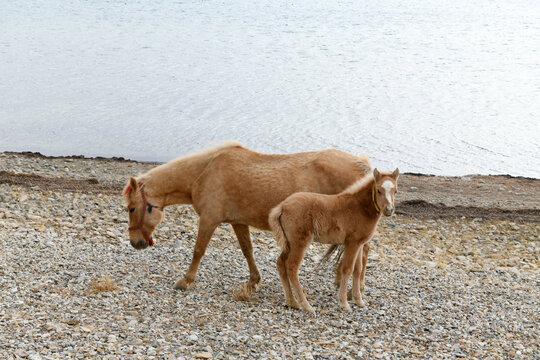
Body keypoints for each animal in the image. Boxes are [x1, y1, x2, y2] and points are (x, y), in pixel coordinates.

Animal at [124, 141, 374, 292]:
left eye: (131, 208)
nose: (136, 243)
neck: (204, 172)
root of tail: (363, 166)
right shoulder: (238, 222)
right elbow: (247, 250)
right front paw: (254, 281)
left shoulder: (209, 220)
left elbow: (198, 250)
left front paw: (185, 280)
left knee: (362, 252)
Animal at [268, 169, 398, 312]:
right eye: (379, 190)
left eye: (395, 191)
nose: (389, 210)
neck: (360, 207)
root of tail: (282, 206)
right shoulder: (352, 243)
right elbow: (347, 269)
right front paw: (344, 303)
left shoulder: (359, 243)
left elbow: (357, 270)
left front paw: (359, 300)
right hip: (299, 242)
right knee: (291, 267)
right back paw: (306, 305)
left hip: (289, 243)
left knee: (280, 263)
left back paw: (292, 302)